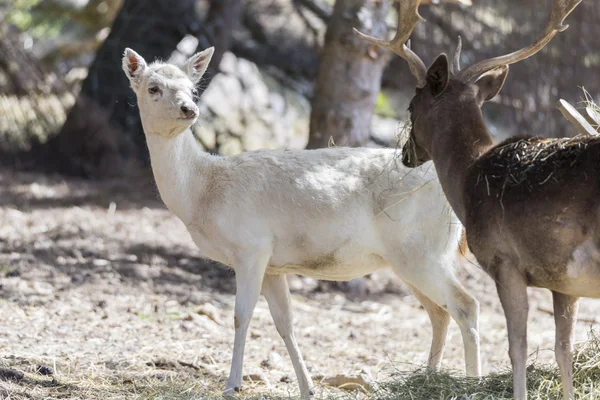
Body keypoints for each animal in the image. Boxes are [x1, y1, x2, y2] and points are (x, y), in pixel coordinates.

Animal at [123, 46, 482, 396]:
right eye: (153, 88)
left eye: (192, 87)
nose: (189, 108)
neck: (201, 194)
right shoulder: (272, 264)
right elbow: (285, 321)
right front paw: (307, 387)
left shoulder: (251, 247)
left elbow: (241, 316)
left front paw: (232, 384)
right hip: (410, 259)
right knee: (439, 312)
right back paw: (427, 380)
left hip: (422, 252)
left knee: (466, 304)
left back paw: (473, 383)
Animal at [356, 0, 592, 400]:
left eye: (411, 105)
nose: (406, 154)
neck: (469, 178)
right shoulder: (561, 280)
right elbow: (564, 350)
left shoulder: (505, 260)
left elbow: (517, 347)